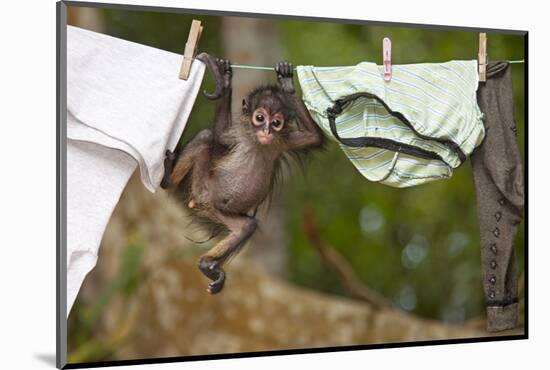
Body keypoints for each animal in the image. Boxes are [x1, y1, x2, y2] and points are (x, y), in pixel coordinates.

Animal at [161, 52, 324, 294]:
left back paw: (207, 264)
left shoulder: (283, 142)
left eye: (276, 122)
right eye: (260, 118)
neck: (259, 143)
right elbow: (219, 136)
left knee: (247, 226)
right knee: (206, 137)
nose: (266, 131)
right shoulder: (239, 135)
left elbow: (315, 137)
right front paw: (224, 79)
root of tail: (202, 200)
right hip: (202, 186)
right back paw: (167, 180)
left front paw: (286, 83)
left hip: (218, 209)